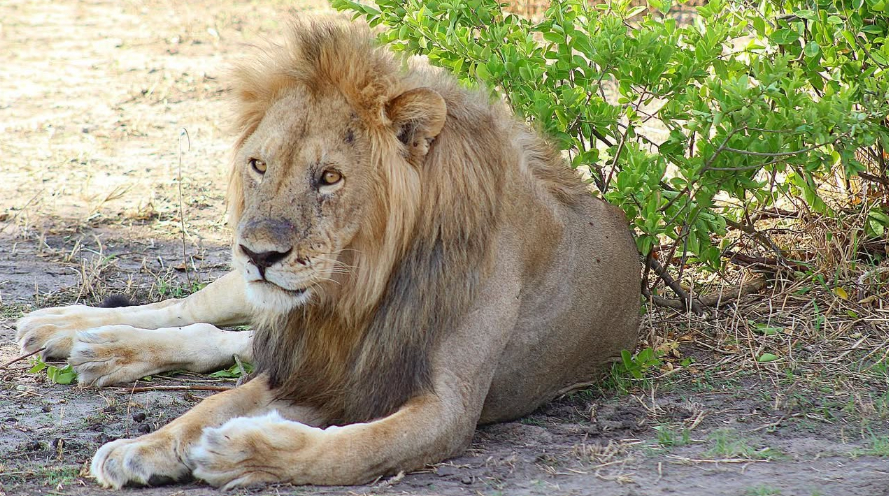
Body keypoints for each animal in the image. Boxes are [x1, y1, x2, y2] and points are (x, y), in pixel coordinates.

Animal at [15, 17, 640, 489]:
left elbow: (352, 449)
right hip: (244, 292)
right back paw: (68, 330)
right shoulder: (315, 364)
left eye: (330, 177)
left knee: (227, 339)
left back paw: (102, 349)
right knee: (191, 312)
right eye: (259, 164)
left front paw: (240, 452)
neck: (355, 288)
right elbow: (209, 407)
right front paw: (144, 447)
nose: (259, 253)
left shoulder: (448, 407)